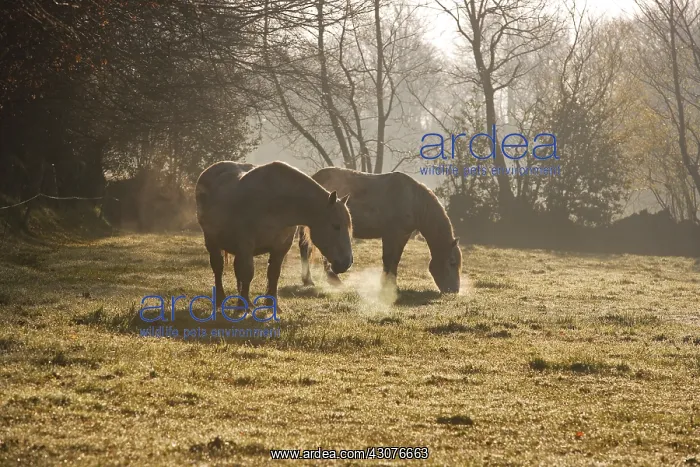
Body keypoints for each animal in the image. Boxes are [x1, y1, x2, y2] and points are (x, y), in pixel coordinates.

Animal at [196, 161, 353, 307]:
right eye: (336, 226)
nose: (347, 262)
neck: (276, 203)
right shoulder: (246, 245)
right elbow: (247, 272)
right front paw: (244, 307)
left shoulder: (280, 247)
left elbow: (273, 274)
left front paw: (272, 305)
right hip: (211, 241)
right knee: (218, 267)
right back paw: (220, 298)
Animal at [299, 167, 461, 293]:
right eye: (452, 262)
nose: (454, 291)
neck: (414, 201)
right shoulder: (393, 234)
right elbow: (389, 259)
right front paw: (388, 286)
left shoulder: (402, 235)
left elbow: (394, 260)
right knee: (306, 248)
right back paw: (317, 280)